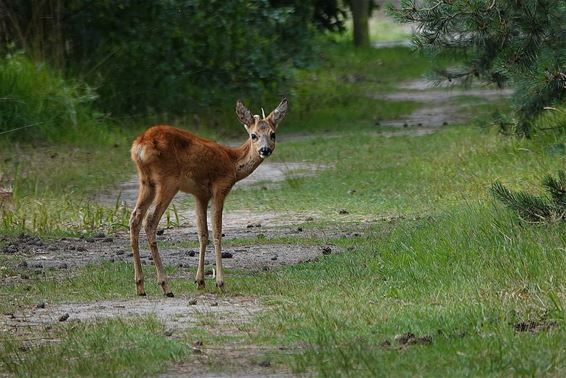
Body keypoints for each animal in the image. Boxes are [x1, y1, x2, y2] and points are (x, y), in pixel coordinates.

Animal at [129, 97, 288, 296]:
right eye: (254, 135)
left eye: (273, 134)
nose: (265, 150)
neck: (232, 162)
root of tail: (140, 146)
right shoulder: (220, 187)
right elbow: (217, 232)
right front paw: (220, 282)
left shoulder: (200, 194)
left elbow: (202, 234)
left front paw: (200, 281)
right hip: (167, 181)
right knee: (150, 221)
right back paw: (166, 286)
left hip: (146, 182)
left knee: (134, 218)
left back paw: (140, 286)